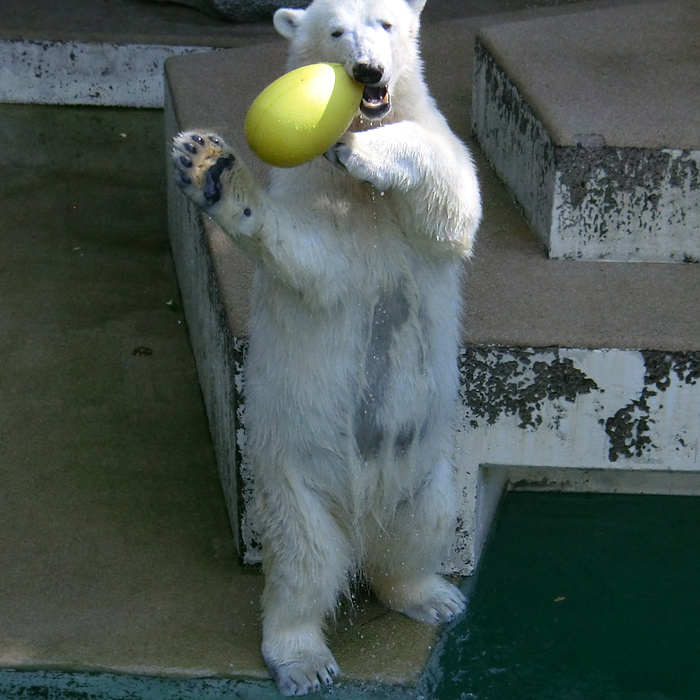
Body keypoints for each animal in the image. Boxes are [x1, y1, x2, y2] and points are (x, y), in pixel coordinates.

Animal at [172, 0, 478, 692]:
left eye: (386, 24)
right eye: (337, 31)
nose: (366, 71)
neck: (361, 200)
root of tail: (363, 519)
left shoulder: (424, 174)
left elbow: (452, 207)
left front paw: (361, 149)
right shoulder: (313, 202)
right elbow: (315, 263)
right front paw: (210, 168)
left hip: (429, 472)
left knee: (420, 530)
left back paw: (431, 595)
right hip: (294, 480)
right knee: (304, 565)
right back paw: (303, 659)